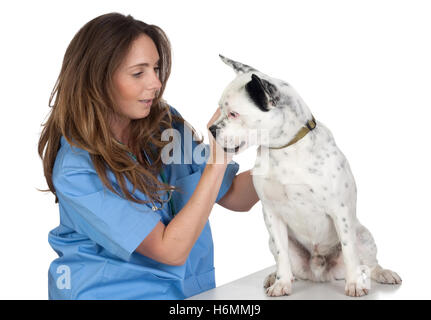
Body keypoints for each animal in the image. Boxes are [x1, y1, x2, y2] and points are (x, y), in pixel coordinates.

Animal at [211, 55, 404, 298]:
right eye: (220, 109)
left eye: (234, 114)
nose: (211, 129)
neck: (284, 148)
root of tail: (320, 273)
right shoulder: (272, 213)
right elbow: (282, 255)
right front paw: (281, 283)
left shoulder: (340, 211)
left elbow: (349, 250)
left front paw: (354, 284)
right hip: (275, 244)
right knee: (286, 262)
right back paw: (275, 276)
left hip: (364, 236)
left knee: (368, 263)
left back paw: (382, 273)